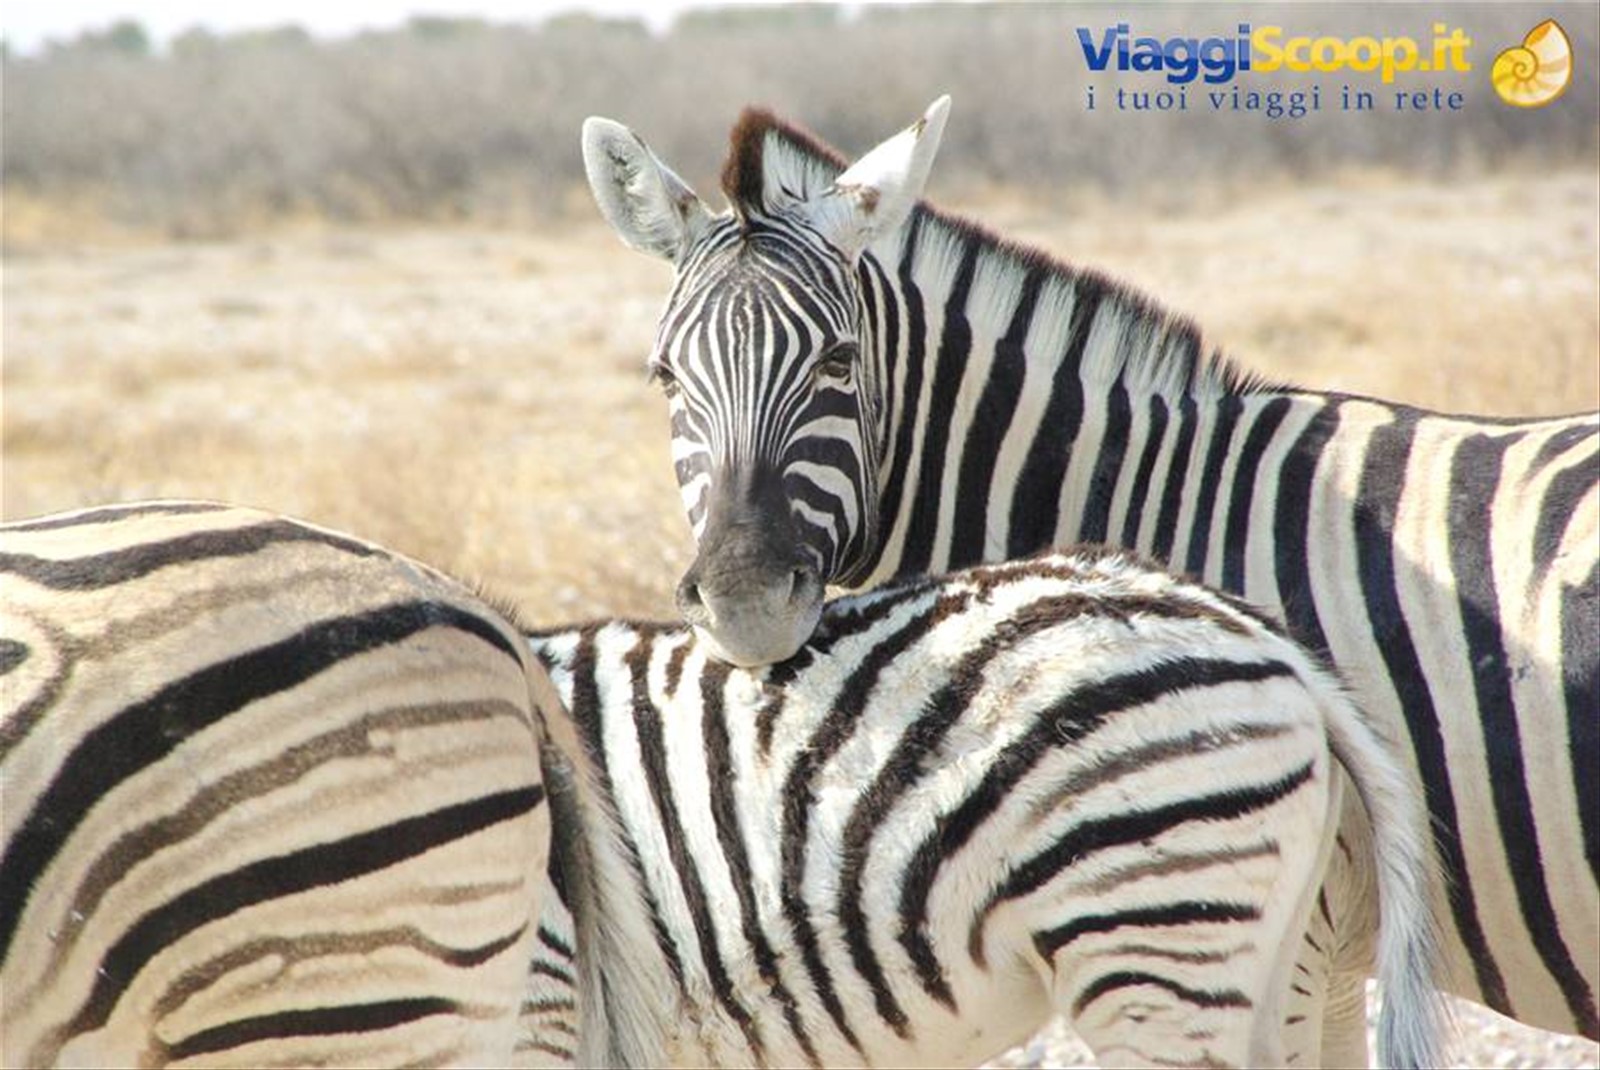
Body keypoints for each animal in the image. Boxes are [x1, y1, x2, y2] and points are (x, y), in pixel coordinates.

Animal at [580, 97, 1600, 1045]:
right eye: (665, 377)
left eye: (839, 361)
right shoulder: (1328, 949)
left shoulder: (1301, 932)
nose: (744, 604)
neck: (1151, 495)